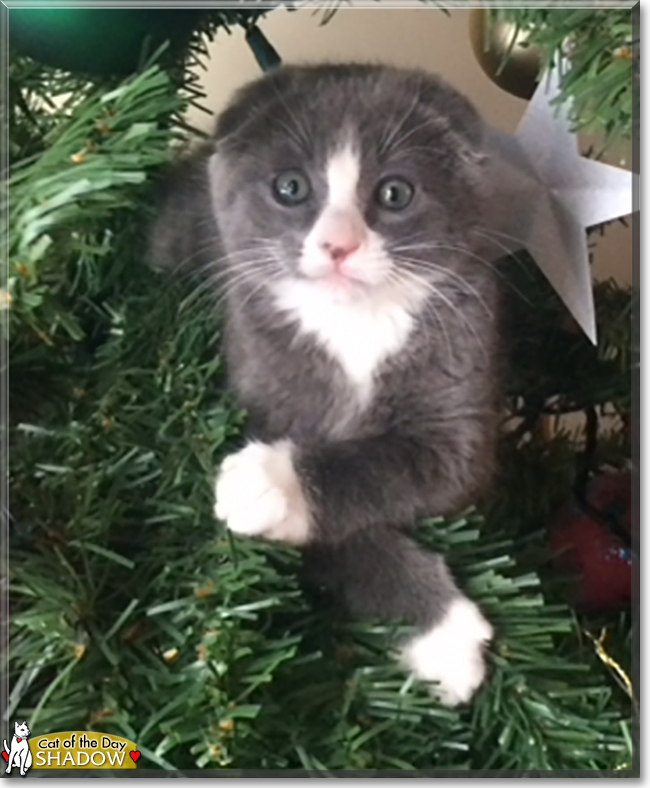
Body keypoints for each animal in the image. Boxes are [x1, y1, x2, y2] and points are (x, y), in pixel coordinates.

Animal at [151, 63, 496, 708]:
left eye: (394, 193)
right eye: (290, 188)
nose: (340, 244)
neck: (353, 325)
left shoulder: (462, 390)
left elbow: (386, 466)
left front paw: (272, 482)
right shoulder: (255, 370)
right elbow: (336, 541)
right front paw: (440, 632)